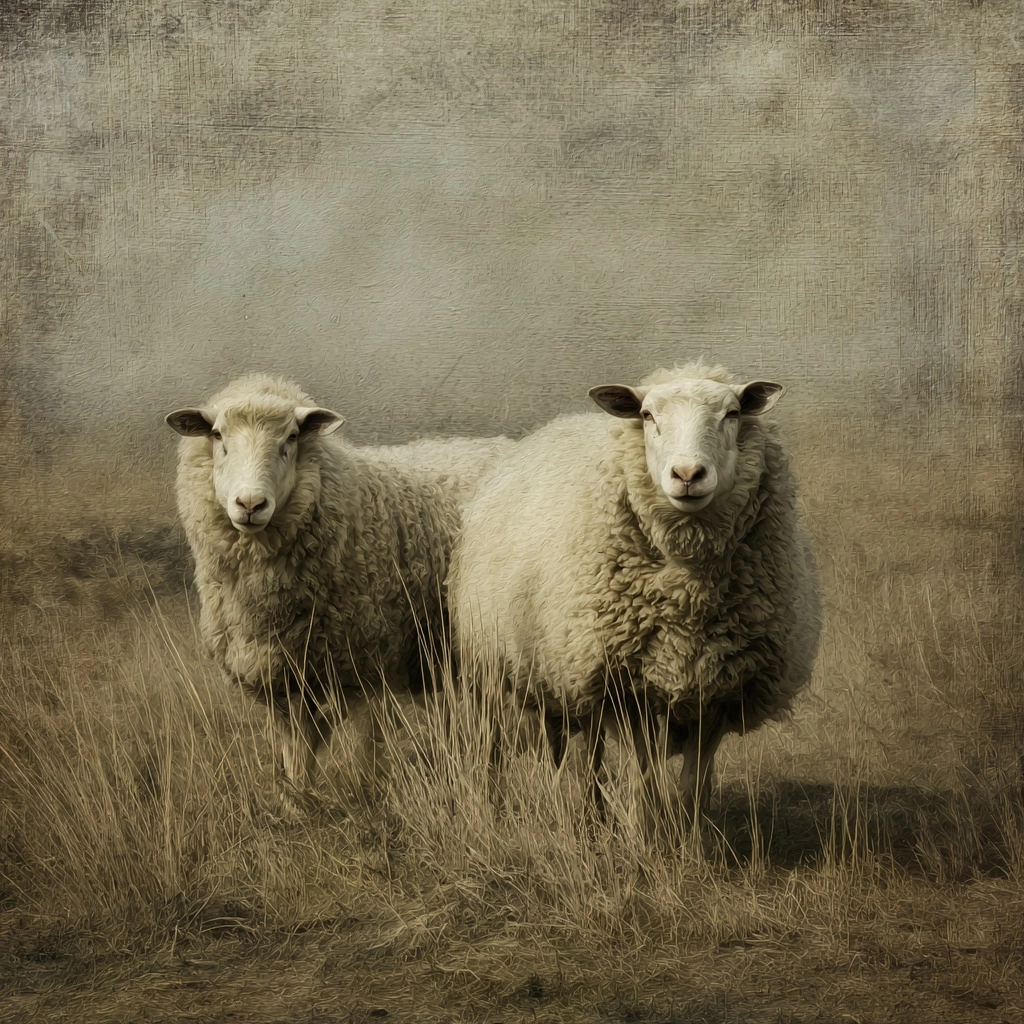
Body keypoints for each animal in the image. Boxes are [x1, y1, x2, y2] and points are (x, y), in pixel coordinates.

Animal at [165, 373, 514, 812]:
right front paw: (297, 802)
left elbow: (364, 749)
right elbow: (296, 745)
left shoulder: (365, 662)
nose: (250, 504)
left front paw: (367, 802)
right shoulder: (280, 672)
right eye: (217, 435)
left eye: (292, 437)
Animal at [448, 362, 822, 828]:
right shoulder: (622, 688)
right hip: (492, 666)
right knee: (499, 748)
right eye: (647, 416)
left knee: (574, 753)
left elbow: (693, 789)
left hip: (562, 674)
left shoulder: (719, 691)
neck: (688, 596)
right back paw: (499, 811)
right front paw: (647, 836)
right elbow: (644, 787)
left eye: (733, 413)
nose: (687, 475)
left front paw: (690, 840)